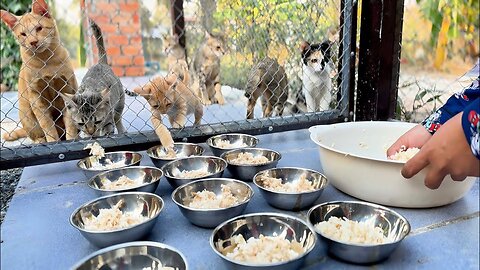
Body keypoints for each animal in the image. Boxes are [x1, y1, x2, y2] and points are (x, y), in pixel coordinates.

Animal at [0, 0, 78, 143]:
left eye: (39, 28)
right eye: (23, 34)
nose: (33, 42)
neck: (46, 61)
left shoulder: (67, 89)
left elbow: (70, 125)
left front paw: (72, 140)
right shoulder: (37, 98)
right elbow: (47, 126)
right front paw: (53, 143)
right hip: (27, 116)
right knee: (38, 134)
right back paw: (40, 141)